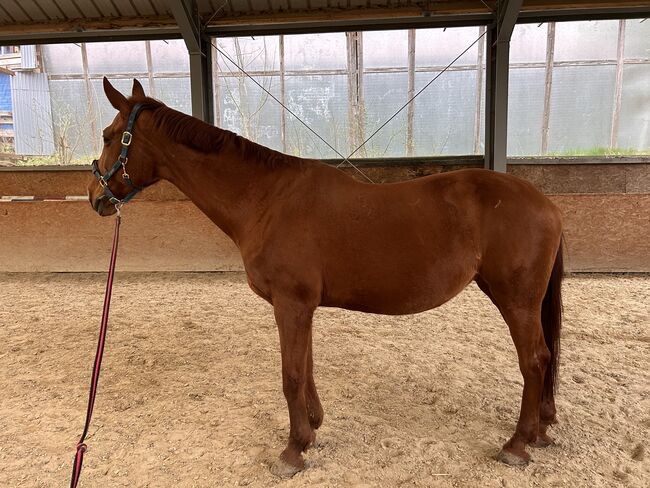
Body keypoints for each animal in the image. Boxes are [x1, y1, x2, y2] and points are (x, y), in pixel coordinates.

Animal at [87, 79, 560, 476]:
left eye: (110, 136)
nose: (95, 198)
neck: (267, 199)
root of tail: (545, 202)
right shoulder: (302, 307)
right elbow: (307, 367)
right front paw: (312, 427)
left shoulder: (290, 304)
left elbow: (291, 375)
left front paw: (292, 450)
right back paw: (539, 430)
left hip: (516, 299)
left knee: (535, 360)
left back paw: (517, 444)